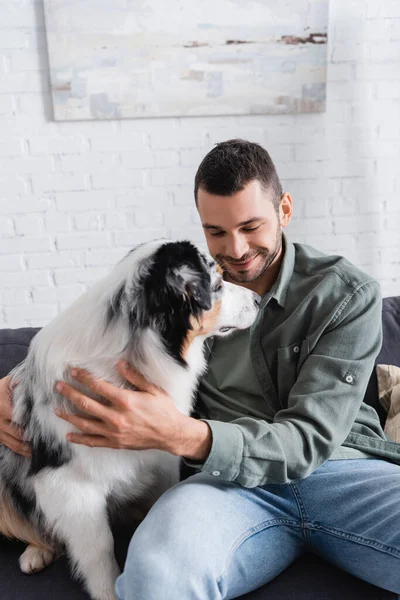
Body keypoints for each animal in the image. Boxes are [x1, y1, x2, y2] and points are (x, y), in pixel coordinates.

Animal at [0, 240, 260, 600]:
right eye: (218, 284)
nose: (259, 299)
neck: (132, 353)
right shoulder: (71, 485)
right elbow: (98, 548)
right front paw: (107, 590)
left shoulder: (161, 458)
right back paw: (36, 552)